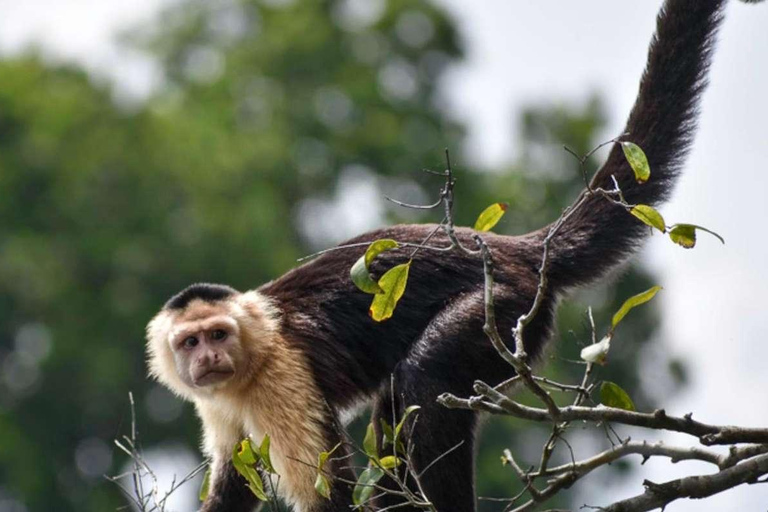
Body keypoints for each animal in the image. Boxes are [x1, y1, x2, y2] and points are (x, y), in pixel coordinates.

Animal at [146, 0, 744, 510]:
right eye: (191, 342)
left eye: (219, 334)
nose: (208, 358)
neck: (249, 361)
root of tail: (515, 249)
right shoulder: (218, 403)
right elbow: (233, 480)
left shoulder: (281, 375)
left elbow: (328, 489)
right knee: (397, 404)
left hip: (505, 308)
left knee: (425, 379)